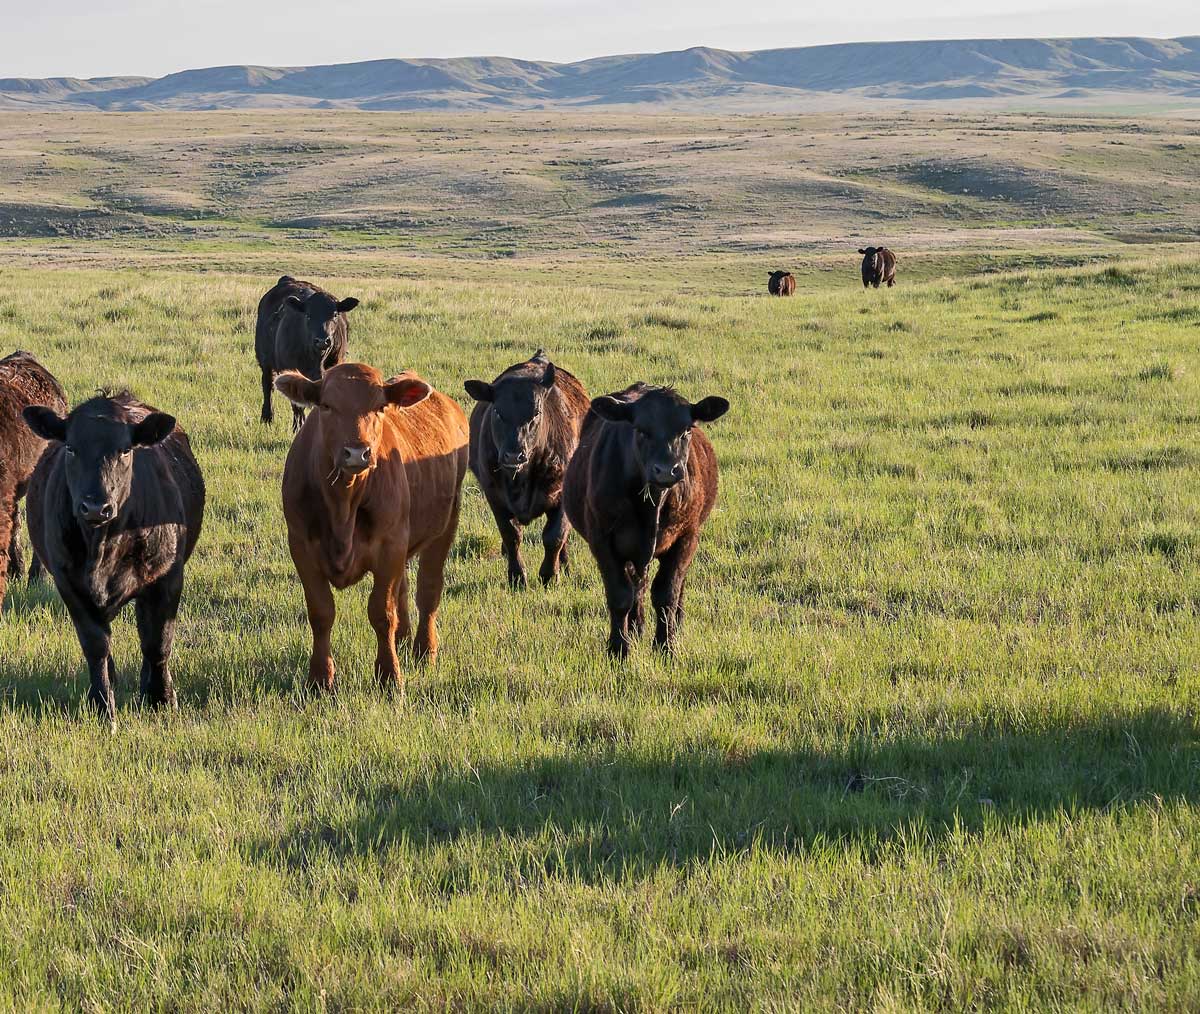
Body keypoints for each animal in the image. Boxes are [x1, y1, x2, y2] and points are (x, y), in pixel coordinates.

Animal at [23, 393, 205, 727]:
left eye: (125, 450)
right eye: (71, 448)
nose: (96, 507)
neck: (103, 546)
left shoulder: (166, 579)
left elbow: (157, 642)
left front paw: (161, 700)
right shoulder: (69, 584)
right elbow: (96, 645)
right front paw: (102, 706)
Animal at [255, 275, 359, 432]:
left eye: (335, 315)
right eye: (308, 316)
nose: (322, 340)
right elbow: (297, 405)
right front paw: (298, 428)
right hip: (264, 360)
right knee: (267, 386)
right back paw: (267, 417)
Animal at [276, 362, 468, 694]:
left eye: (379, 407)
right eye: (326, 406)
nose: (357, 452)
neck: (343, 504)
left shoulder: (389, 546)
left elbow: (381, 612)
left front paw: (389, 675)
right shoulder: (301, 546)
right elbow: (321, 612)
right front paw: (320, 678)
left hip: (445, 525)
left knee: (428, 589)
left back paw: (424, 649)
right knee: (403, 587)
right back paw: (403, 639)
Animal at [464, 350, 590, 589]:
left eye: (536, 413)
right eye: (498, 412)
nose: (514, 455)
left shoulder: (561, 494)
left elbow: (554, 536)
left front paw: (549, 576)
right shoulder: (494, 496)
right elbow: (511, 535)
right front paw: (517, 577)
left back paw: (565, 566)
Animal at [563, 383, 729, 659]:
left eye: (686, 430)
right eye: (641, 430)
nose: (666, 470)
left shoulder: (687, 537)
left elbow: (667, 593)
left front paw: (666, 646)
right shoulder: (602, 541)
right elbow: (620, 596)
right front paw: (618, 649)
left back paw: (673, 625)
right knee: (636, 585)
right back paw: (635, 627)